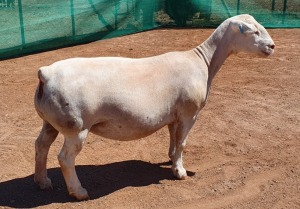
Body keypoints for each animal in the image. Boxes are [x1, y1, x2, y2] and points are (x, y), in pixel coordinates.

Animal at [33, 13, 274, 200]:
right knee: (65, 159)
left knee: (41, 146)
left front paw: (171, 158)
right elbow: (183, 142)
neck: (203, 61)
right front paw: (180, 171)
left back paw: (42, 181)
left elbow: (173, 137)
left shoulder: (174, 114)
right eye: (253, 32)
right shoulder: (189, 113)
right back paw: (79, 192)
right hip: (76, 126)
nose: (272, 46)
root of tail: (46, 74)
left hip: (50, 121)